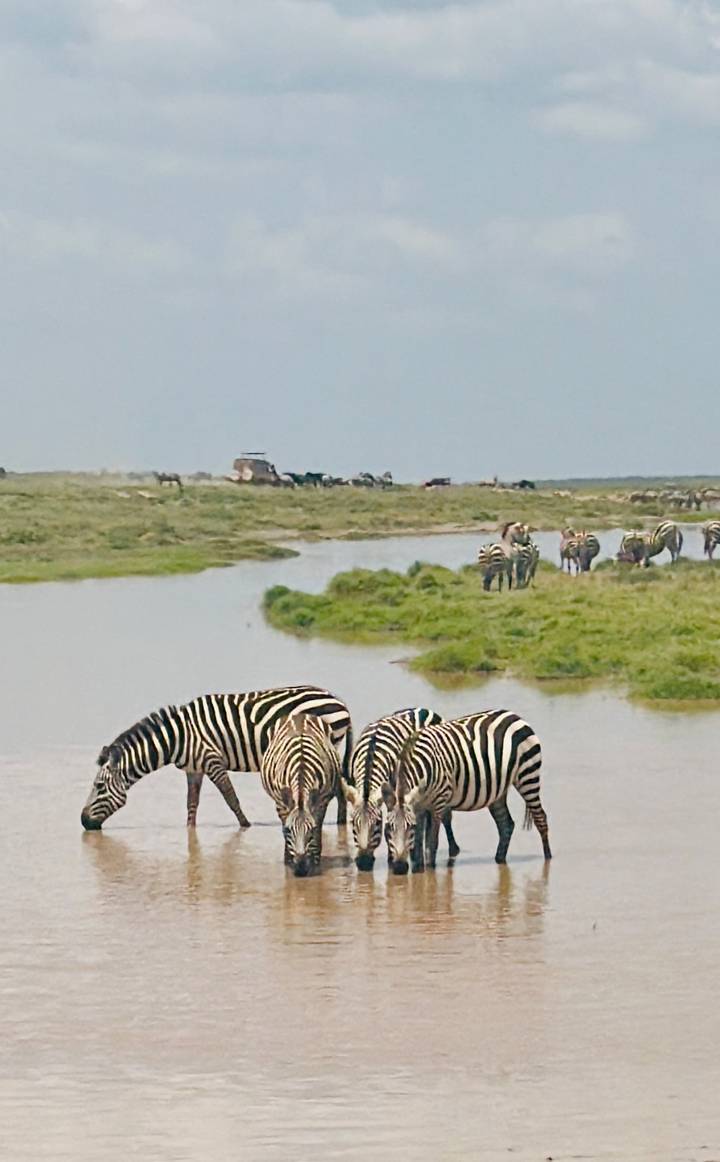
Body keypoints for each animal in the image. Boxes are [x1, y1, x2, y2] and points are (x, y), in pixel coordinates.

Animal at [80, 686, 353, 831]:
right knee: (339, 788)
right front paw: (189, 831)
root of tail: (338, 701)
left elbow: (231, 797)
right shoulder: (194, 768)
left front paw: (245, 826)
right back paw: (340, 823)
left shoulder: (212, 760)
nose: (83, 822)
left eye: (99, 786)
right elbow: (192, 803)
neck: (179, 737)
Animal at [260, 714, 340, 876]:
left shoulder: (321, 801)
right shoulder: (281, 802)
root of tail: (300, 715)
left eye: (312, 830)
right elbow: (284, 823)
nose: (301, 868)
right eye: (288, 830)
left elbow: (318, 828)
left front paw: (315, 860)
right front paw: (288, 859)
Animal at [341, 708, 460, 871]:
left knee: (446, 817)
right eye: (352, 823)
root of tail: (422, 709)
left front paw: (392, 858)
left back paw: (453, 849)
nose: (364, 864)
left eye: (377, 823)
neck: (372, 749)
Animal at [382, 710, 551, 875]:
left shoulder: (438, 803)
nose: (399, 868)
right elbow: (417, 846)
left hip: (528, 775)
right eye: (388, 828)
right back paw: (500, 859)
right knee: (506, 824)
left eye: (409, 827)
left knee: (540, 818)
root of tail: (514, 715)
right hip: (498, 791)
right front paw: (418, 871)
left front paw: (430, 872)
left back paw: (547, 858)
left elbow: (431, 843)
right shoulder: (419, 807)